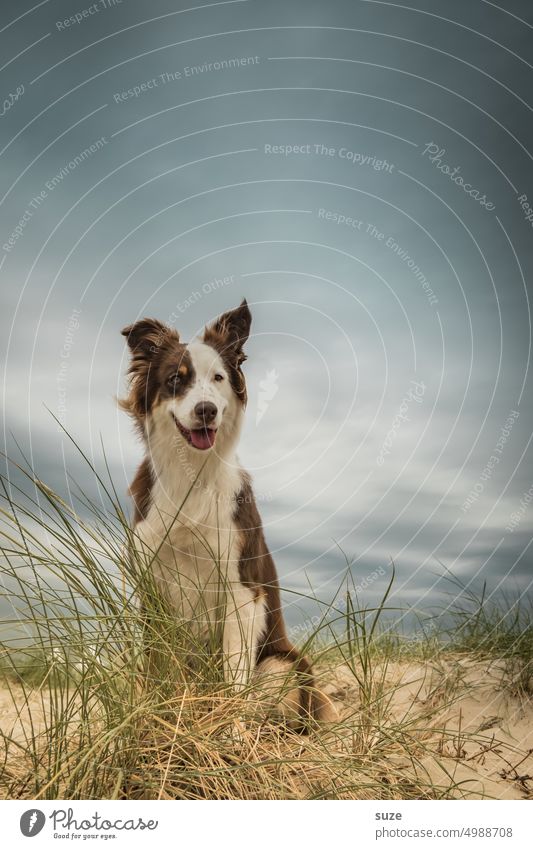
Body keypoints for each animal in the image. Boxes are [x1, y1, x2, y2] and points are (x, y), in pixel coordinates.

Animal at [120, 302, 332, 724]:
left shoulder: (241, 593)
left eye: (218, 378)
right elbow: (155, 667)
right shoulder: (153, 589)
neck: (192, 474)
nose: (207, 410)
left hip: (281, 665)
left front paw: (230, 731)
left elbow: (234, 683)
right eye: (176, 379)